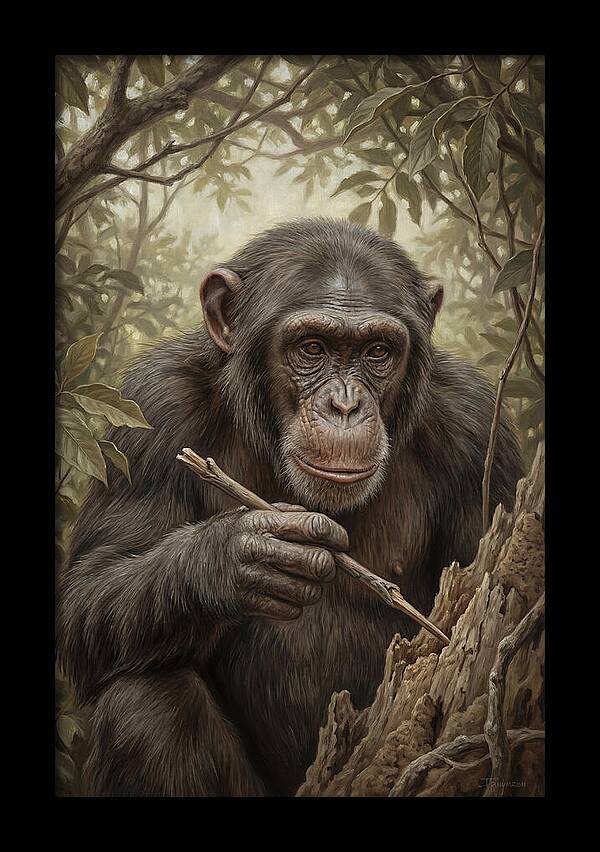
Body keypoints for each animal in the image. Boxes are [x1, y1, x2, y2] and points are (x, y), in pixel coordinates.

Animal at [56, 218, 524, 797]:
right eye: (312, 347)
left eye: (377, 353)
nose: (344, 404)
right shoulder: (151, 409)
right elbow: (89, 590)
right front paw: (240, 557)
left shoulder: (479, 433)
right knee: (145, 704)